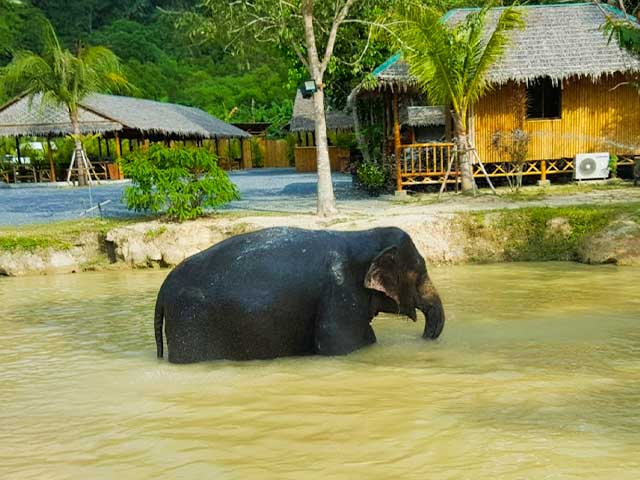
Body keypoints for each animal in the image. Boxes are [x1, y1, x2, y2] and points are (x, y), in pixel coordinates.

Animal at [155, 227, 444, 362]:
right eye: (419, 273)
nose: (424, 338)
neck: (363, 236)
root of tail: (163, 288)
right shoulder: (339, 293)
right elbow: (339, 344)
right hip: (191, 322)